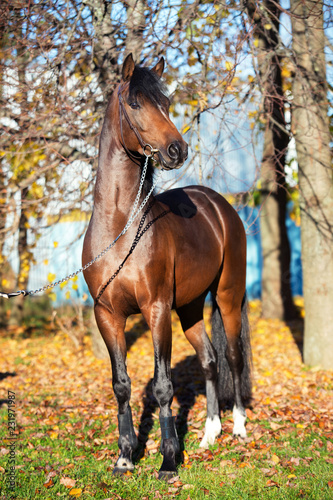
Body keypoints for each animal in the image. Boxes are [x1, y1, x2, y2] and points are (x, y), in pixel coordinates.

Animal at [81, 52, 250, 478]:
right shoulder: (107, 315)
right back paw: (209, 434)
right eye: (135, 103)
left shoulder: (156, 309)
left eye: (167, 102)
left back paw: (239, 429)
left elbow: (162, 386)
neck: (121, 228)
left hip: (227, 296)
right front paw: (126, 456)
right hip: (189, 307)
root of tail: (220, 206)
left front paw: (169, 459)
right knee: (209, 360)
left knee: (233, 358)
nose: (178, 150)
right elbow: (121, 384)